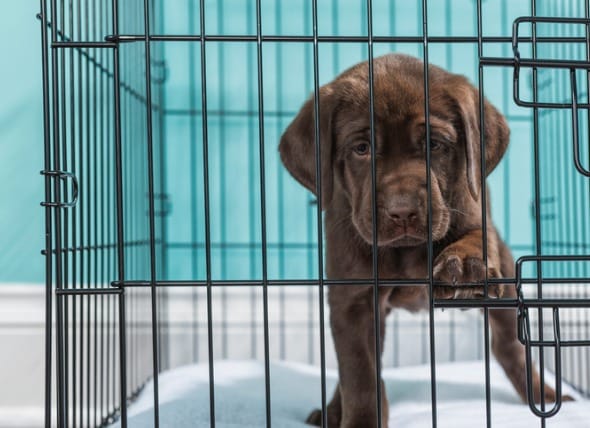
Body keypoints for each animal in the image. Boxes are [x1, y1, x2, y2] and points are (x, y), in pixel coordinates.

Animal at [280, 54, 560, 428]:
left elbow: (474, 237)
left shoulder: (476, 217)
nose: (402, 212)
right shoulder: (352, 300)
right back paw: (331, 411)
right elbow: (360, 375)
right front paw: (358, 419)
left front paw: (463, 264)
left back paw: (547, 397)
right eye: (361, 149)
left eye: (434, 145)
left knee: (509, 346)